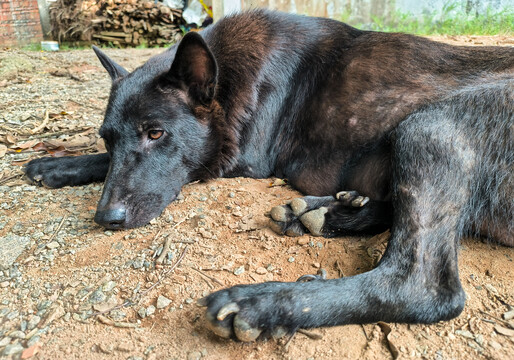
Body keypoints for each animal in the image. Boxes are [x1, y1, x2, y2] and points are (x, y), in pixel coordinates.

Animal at [26, 10, 510, 340]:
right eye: (108, 138)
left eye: (156, 133)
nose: (105, 218)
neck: (225, 77)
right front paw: (54, 164)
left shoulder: (235, 160)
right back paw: (328, 212)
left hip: (429, 126)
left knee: (423, 287)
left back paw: (263, 302)